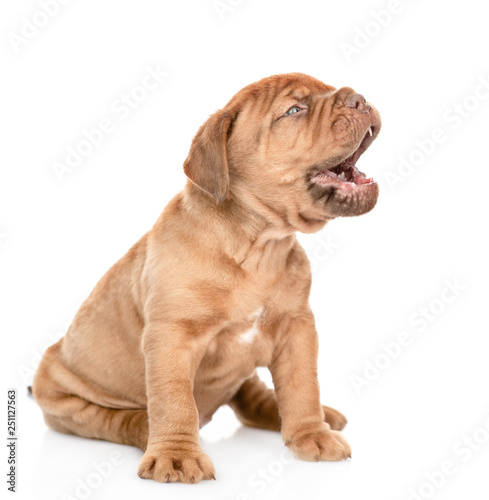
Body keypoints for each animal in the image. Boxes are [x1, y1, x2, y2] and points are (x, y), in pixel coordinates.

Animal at [31, 72, 382, 482]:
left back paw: (316, 416)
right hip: (64, 398)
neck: (258, 246)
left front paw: (313, 434)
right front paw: (176, 455)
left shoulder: (297, 327)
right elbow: (175, 399)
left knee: (254, 397)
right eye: (294, 110)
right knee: (114, 420)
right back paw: (146, 427)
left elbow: (301, 386)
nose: (359, 99)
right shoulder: (171, 336)